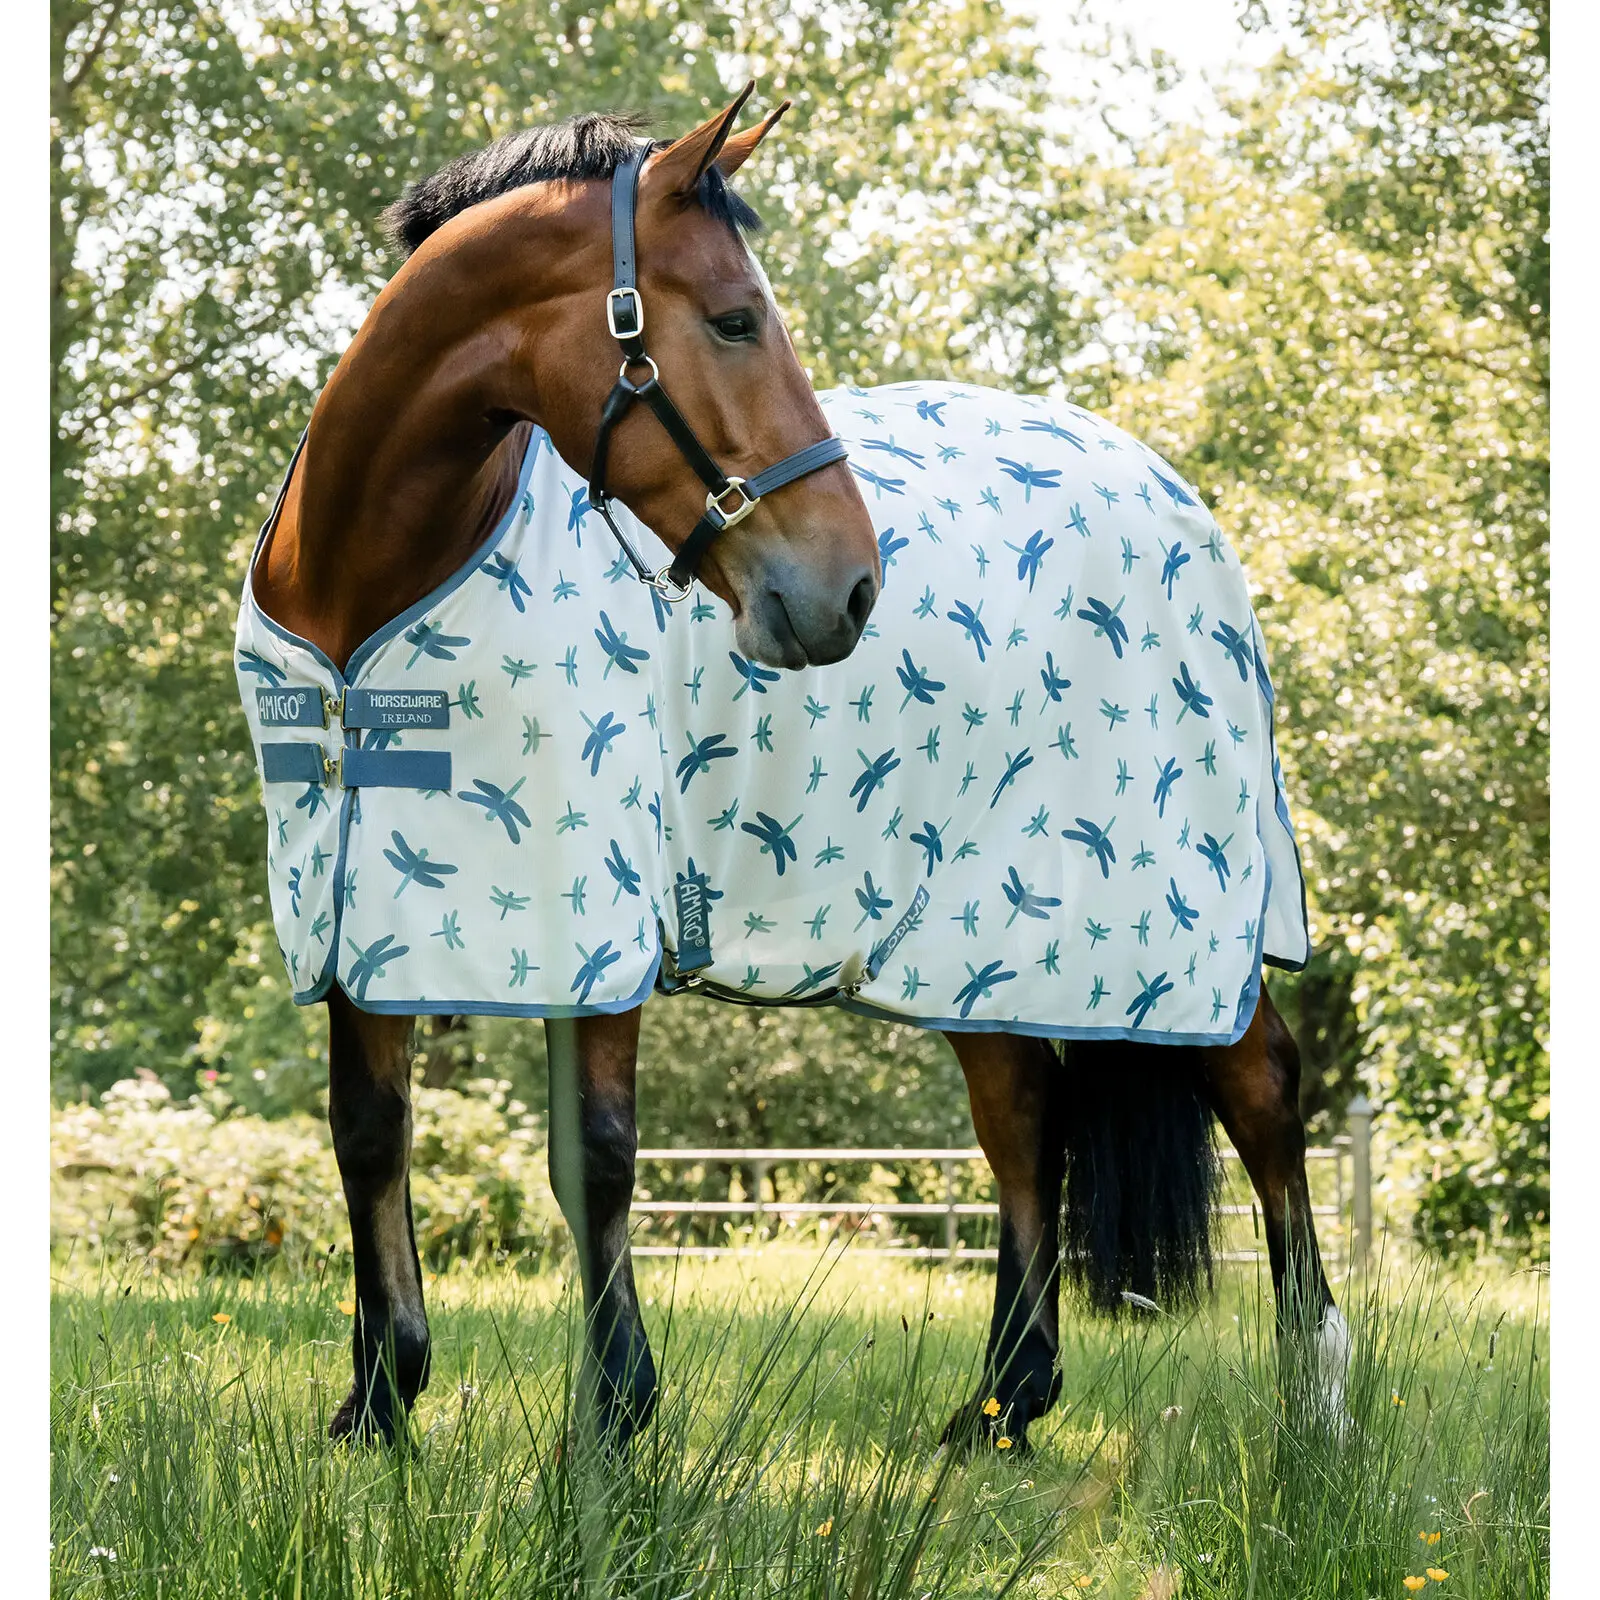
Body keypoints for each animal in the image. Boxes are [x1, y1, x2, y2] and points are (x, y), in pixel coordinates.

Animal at [239, 88, 1348, 1451]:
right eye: (733, 318)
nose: (849, 587)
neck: (366, 594)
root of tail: (1167, 491)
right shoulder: (358, 908)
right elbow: (368, 1135)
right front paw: (379, 1401)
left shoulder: (597, 906)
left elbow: (595, 1156)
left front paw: (612, 1420)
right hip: (976, 939)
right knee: (1023, 1120)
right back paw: (1000, 1405)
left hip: (1174, 918)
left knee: (1261, 1090)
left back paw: (1314, 1396)